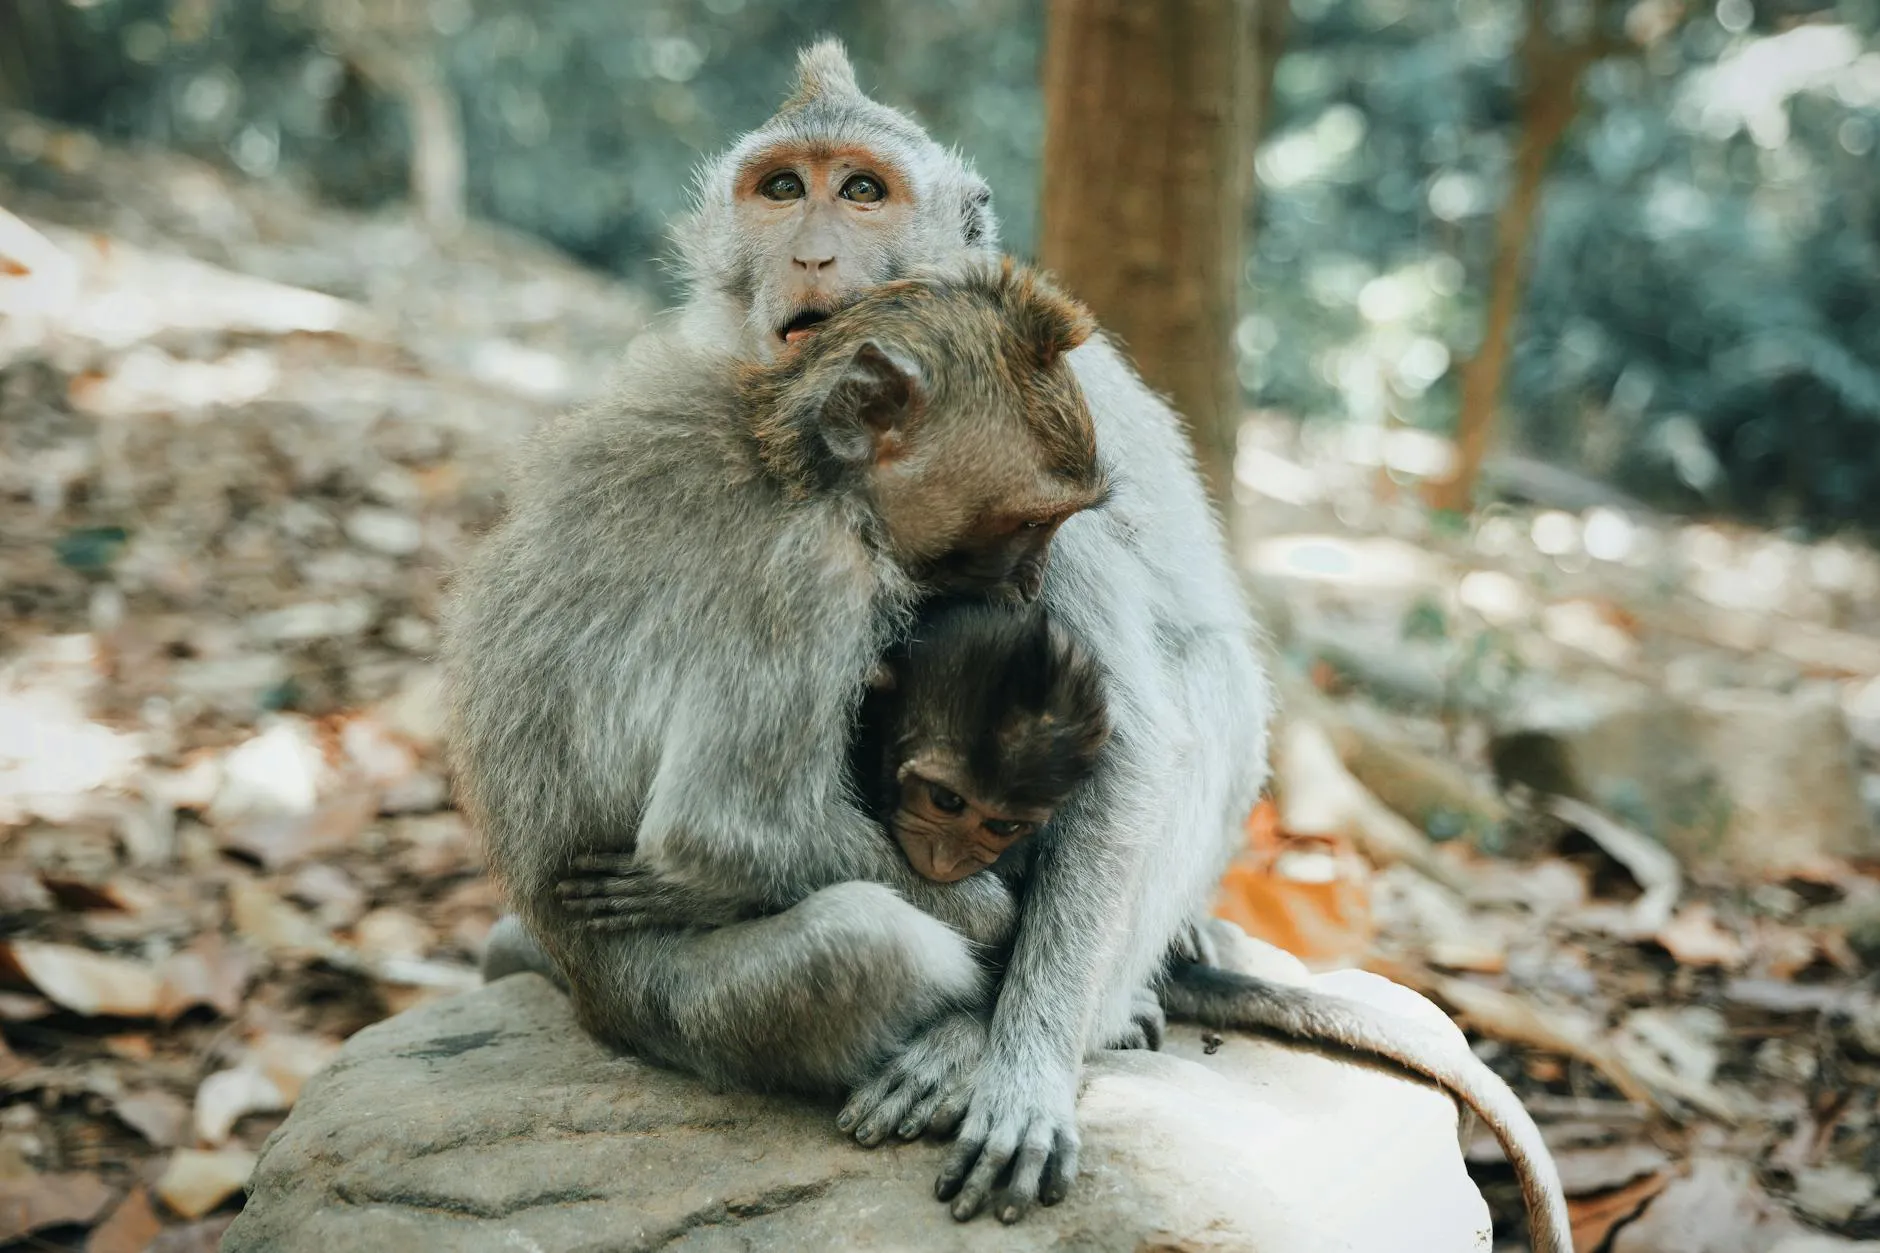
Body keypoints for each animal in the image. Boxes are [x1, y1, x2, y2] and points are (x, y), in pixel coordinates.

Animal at [462, 36, 1564, 1241]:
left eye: (863, 191)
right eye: (782, 187)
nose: (809, 250)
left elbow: (1131, 746)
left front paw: (1022, 1061)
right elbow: (731, 821)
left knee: (1194, 689)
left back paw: (1039, 1022)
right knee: (866, 931)